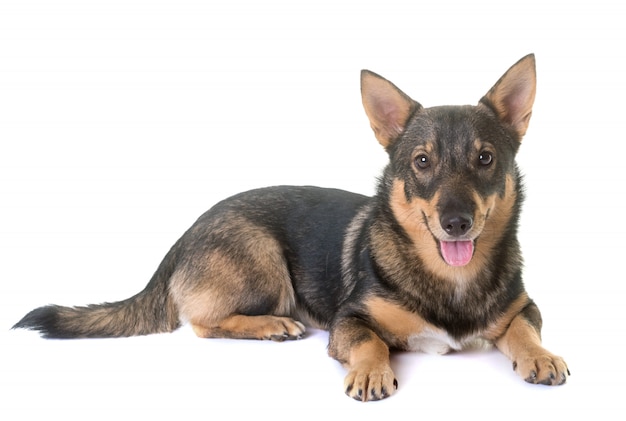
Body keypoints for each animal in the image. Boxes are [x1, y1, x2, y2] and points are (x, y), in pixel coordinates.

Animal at [17, 53, 568, 400]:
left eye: (485, 158)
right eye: (423, 162)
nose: (457, 223)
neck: (450, 278)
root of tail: (184, 235)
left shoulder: (524, 307)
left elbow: (523, 329)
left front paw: (540, 356)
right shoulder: (349, 319)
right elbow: (370, 341)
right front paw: (371, 372)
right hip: (262, 262)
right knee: (201, 323)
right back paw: (271, 325)